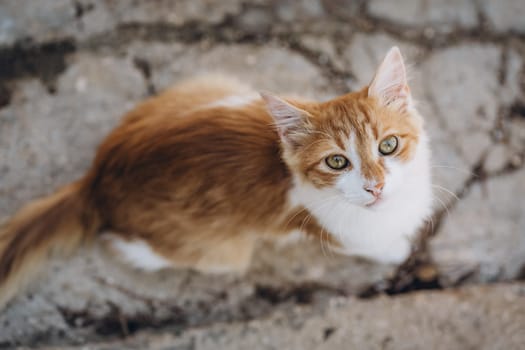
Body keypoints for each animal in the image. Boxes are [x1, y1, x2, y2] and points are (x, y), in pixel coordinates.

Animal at [0, 46, 432, 306]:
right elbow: (377, 245)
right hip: (222, 251)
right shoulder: (331, 230)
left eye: (388, 145)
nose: (375, 186)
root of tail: (97, 176)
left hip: (212, 86)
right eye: (337, 162)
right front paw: (398, 248)